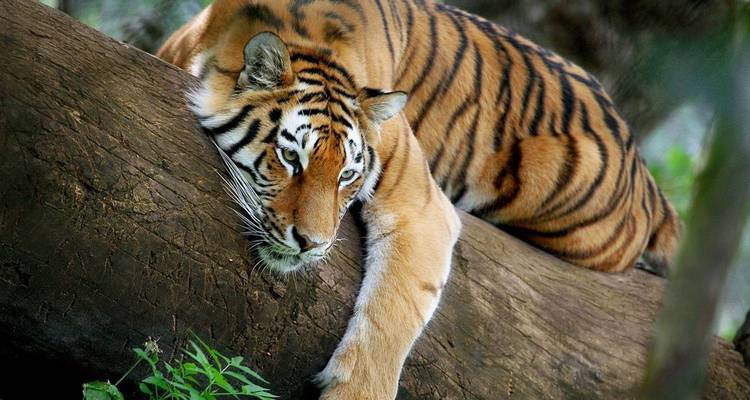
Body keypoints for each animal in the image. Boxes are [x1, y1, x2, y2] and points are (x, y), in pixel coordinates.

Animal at [157, 0, 681, 398]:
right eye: (290, 158)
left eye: (347, 175)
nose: (312, 244)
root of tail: (643, 170)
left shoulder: (421, 206)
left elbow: (393, 312)